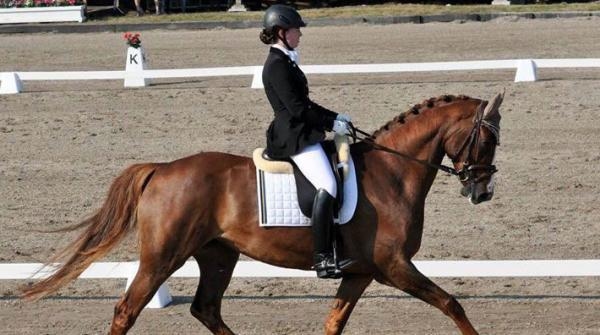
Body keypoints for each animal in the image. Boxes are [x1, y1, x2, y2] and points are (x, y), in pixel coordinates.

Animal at [22, 92, 502, 335]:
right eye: (488, 139)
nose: (482, 192)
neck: (393, 173)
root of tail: (161, 168)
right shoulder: (395, 266)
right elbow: (452, 303)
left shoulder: (362, 271)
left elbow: (334, 322)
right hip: (163, 256)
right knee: (127, 310)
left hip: (218, 254)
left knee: (206, 309)